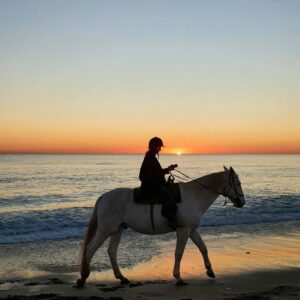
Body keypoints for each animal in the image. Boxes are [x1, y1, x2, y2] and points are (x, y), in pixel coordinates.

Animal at [76, 165, 245, 288]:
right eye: (238, 183)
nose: (242, 202)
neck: (195, 195)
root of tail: (103, 197)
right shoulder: (184, 230)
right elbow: (179, 253)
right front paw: (178, 278)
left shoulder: (191, 230)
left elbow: (203, 248)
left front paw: (210, 271)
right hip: (105, 230)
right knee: (90, 249)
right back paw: (83, 278)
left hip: (117, 230)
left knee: (111, 251)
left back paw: (122, 278)